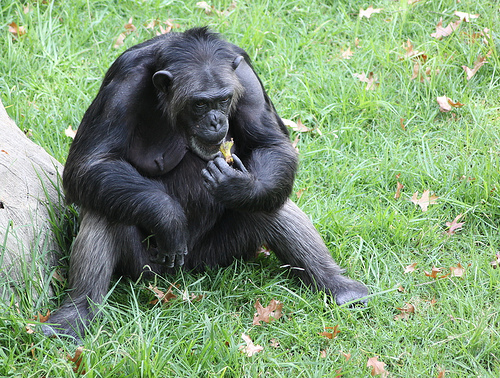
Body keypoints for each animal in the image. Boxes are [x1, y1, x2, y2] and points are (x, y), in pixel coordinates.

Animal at [43, 26, 368, 340]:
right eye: (199, 104)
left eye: (223, 99)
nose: (215, 120)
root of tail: (186, 275)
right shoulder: (123, 83)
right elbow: (92, 161)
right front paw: (168, 217)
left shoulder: (245, 77)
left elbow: (271, 144)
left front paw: (239, 187)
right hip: (148, 267)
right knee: (104, 203)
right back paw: (76, 314)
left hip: (221, 253)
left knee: (273, 202)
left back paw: (338, 286)